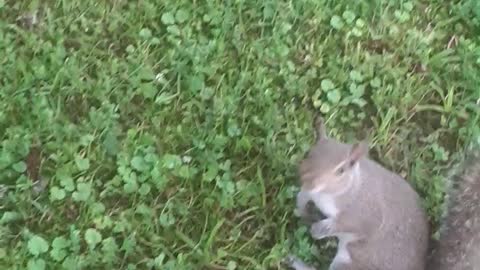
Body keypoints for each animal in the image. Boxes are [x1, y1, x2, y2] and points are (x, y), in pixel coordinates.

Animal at [284, 117, 480, 270]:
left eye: (340, 171)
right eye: (309, 152)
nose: (307, 178)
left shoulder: (365, 212)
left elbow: (351, 224)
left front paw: (319, 229)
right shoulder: (310, 192)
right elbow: (302, 198)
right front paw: (303, 212)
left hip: (350, 263)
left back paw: (298, 263)